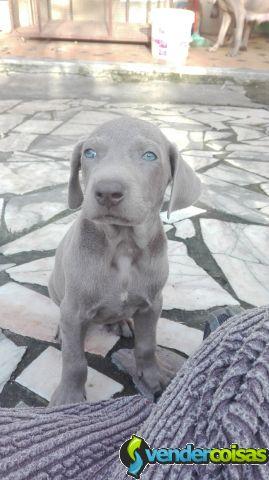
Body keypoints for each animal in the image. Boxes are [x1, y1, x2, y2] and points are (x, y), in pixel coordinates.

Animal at [47, 116, 199, 404]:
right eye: (89, 153)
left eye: (150, 155)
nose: (107, 192)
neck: (123, 246)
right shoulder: (74, 310)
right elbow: (74, 359)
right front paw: (69, 398)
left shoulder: (152, 304)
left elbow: (147, 345)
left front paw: (152, 376)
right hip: (55, 288)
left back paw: (121, 322)